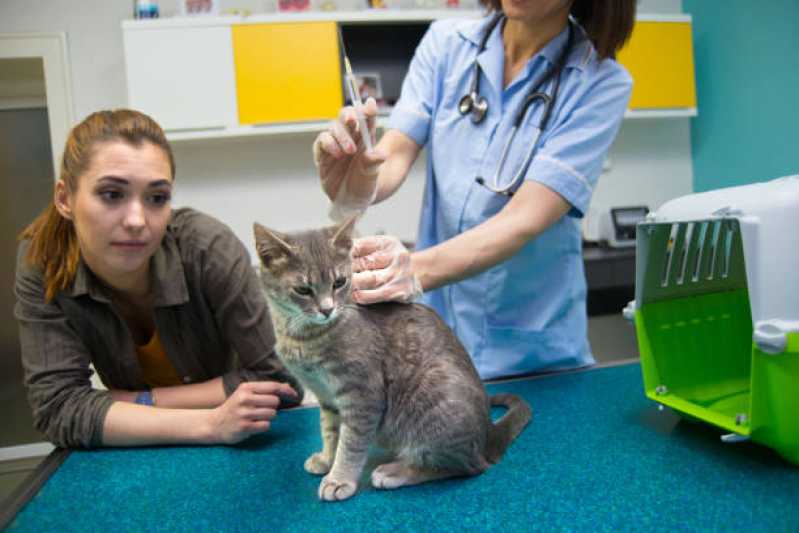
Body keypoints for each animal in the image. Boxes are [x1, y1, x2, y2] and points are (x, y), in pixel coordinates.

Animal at [255, 216, 532, 498]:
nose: (327, 309)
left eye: (339, 282)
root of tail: (488, 433)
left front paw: (340, 478)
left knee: (467, 466)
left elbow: (351, 443)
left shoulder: (363, 395)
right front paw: (326, 459)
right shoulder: (326, 396)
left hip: (434, 402)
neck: (303, 336)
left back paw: (397, 471)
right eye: (303, 289)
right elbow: (330, 431)